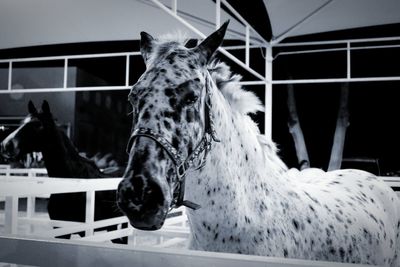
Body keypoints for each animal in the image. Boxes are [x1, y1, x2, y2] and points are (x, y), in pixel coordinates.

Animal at [0, 100, 126, 243]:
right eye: (22, 123)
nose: (6, 145)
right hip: (112, 226)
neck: (71, 183)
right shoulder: (60, 230)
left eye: (38, 125)